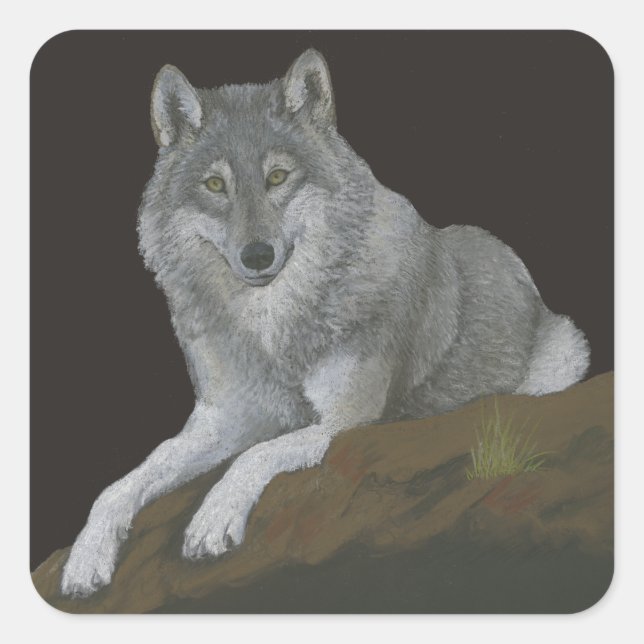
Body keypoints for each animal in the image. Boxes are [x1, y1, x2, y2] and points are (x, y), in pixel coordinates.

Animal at [60, 49, 590, 597]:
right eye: (215, 185)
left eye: (277, 178)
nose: (257, 255)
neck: (274, 329)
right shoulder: (224, 418)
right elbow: (127, 481)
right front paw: (85, 559)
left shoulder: (347, 421)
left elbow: (257, 455)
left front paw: (212, 520)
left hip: (564, 356)